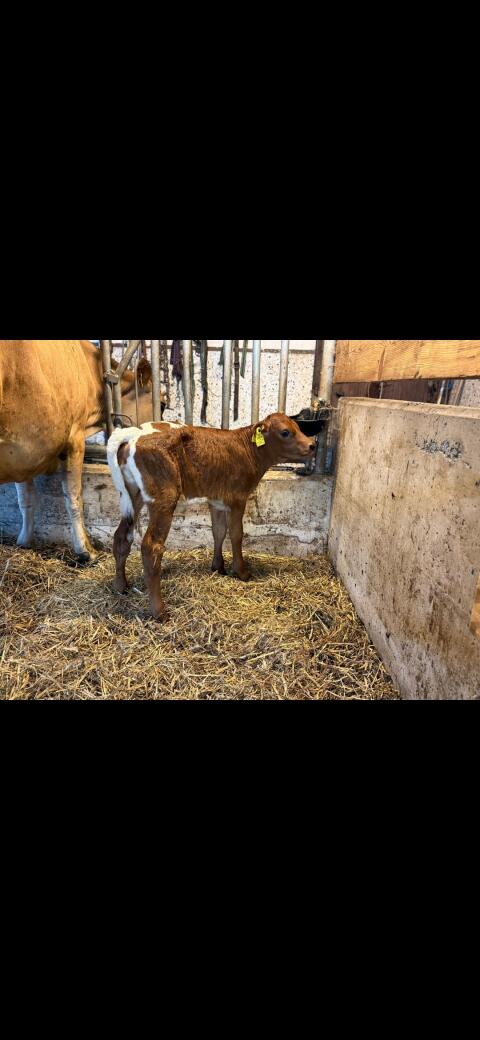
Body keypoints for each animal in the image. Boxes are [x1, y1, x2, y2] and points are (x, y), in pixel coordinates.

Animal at [0, 340, 159, 562]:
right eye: (162, 404)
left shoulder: (26, 453)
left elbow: (26, 499)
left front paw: (24, 541)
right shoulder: (74, 437)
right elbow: (74, 499)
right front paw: (85, 550)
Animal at [107, 414, 316, 621]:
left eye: (298, 427)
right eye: (285, 432)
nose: (313, 444)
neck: (249, 450)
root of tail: (136, 431)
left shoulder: (216, 500)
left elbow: (218, 532)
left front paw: (218, 567)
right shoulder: (238, 498)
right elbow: (236, 534)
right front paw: (242, 572)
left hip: (134, 495)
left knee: (121, 536)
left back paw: (120, 586)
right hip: (163, 498)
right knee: (151, 547)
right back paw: (160, 612)